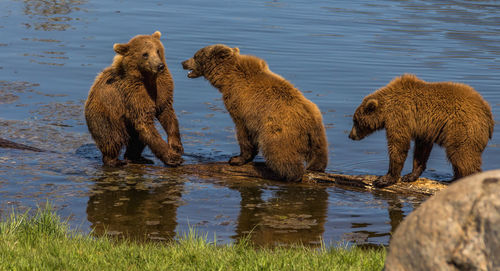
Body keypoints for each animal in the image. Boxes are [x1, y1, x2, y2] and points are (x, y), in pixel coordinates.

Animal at [84, 31, 184, 168]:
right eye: (145, 54)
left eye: (158, 50)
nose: (160, 66)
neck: (148, 77)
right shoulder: (134, 94)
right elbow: (145, 123)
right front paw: (172, 157)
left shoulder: (162, 89)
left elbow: (167, 114)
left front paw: (176, 146)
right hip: (107, 115)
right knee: (112, 137)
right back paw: (115, 161)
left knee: (136, 139)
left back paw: (138, 158)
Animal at [182, 44, 330, 183]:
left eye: (196, 56)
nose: (183, 62)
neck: (227, 78)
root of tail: (309, 120)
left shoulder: (242, 107)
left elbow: (244, 133)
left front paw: (236, 159)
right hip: (318, 134)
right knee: (319, 155)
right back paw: (316, 168)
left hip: (279, 132)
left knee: (280, 155)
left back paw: (283, 174)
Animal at [350, 74, 494, 189]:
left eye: (355, 121)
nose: (351, 135)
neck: (386, 109)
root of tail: (488, 114)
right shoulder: (424, 128)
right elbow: (421, 149)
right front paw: (410, 175)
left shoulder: (399, 116)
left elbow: (398, 145)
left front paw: (384, 179)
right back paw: (452, 179)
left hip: (463, 129)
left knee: (462, 154)